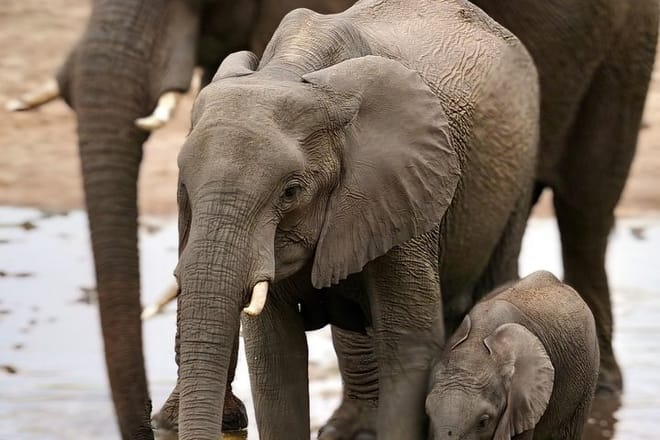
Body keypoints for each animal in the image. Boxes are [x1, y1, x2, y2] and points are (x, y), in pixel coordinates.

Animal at [172, 0, 540, 438]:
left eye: (291, 191)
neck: (290, 70)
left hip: (515, 177)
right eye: (184, 187)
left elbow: (408, 347)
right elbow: (275, 358)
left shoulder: (404, 191)